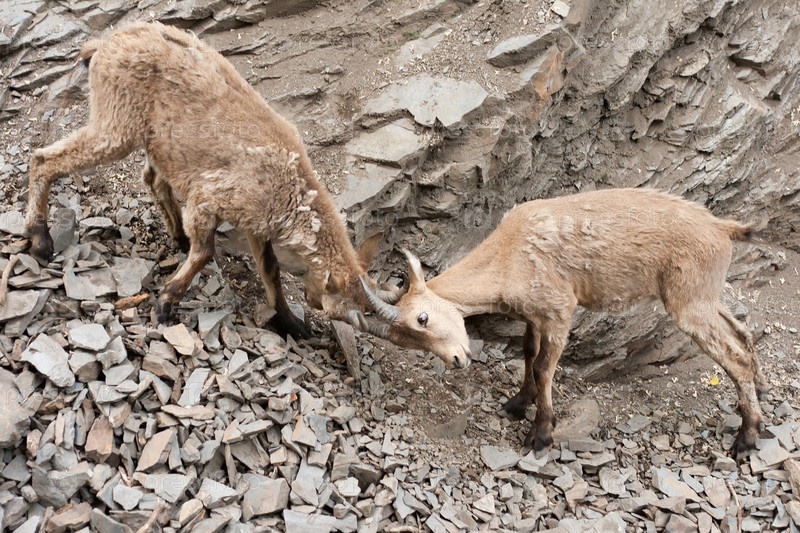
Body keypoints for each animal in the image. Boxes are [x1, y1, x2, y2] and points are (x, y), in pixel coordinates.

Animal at [23, 21, 399, 339]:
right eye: (340, 311)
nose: (313, 302)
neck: (290, 185)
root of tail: (103, 46)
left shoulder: (256, 223)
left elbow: (271, 270)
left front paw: (290, 322)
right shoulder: (211, 198)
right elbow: (205, 252)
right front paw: (165, 303)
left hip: (159, 142)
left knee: (152, 178)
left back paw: (176, 235)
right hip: (117, 122)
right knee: (44, 158)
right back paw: (39, 237)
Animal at [358, 188, 768, 454]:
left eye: (422, 318)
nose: (458, 359)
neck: (509, 256)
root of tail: (722, 229)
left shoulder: (559, 310)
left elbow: (544, 367)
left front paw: (540, 433)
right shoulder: (533, 316)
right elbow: (528, 353)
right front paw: (517, 403)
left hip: (688, 302)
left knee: (734, 357)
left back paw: (747, 437)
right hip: (703, 295)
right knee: (741, 331)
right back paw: (760, 390)